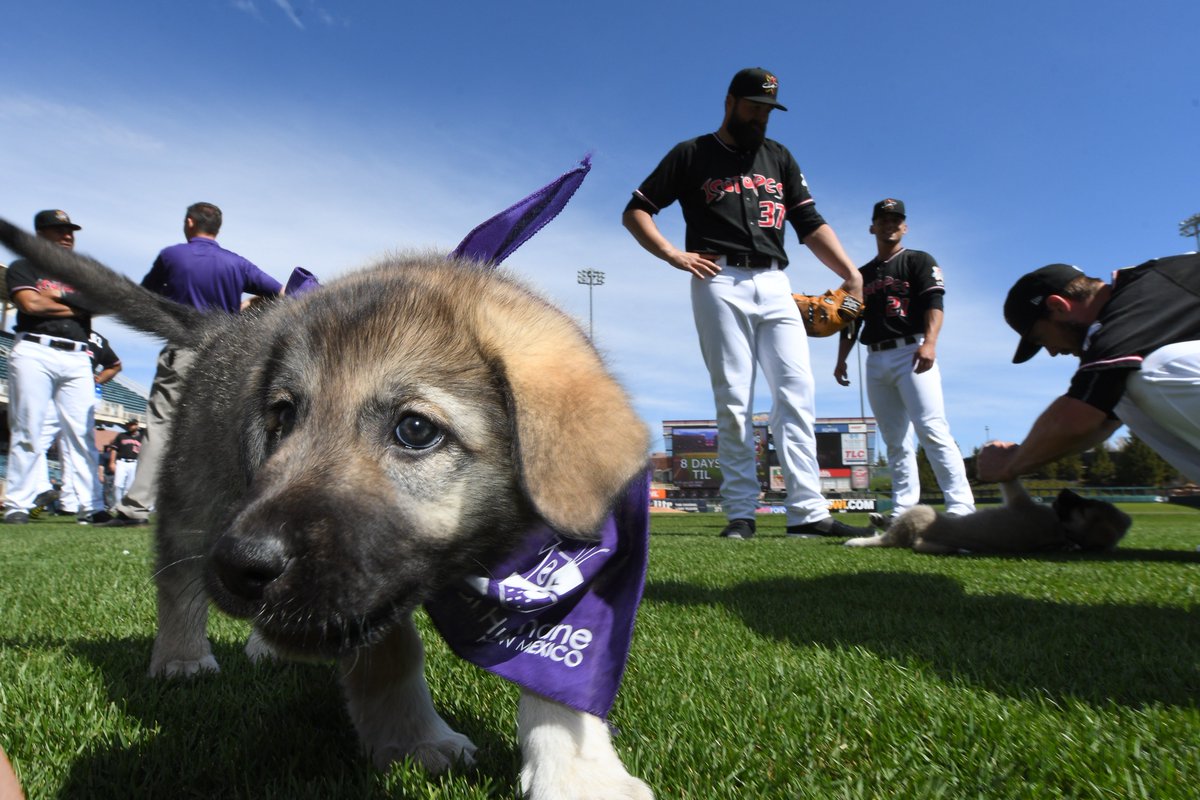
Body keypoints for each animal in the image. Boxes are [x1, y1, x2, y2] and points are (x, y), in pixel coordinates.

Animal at [0, 220, 657, 800]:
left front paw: (581, 777)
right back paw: (182, 657)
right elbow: (391, 654)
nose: (241, 565)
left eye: (415, 430)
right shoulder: (357, 596)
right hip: (197, 493)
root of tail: (221, 326)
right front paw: (413, 741)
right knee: (176, 576)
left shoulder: (575, 577)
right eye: (282, 417)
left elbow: (565, 686)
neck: (476, 562)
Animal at [840, 482, 1128, 556]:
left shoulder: (1020, 501)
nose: (1065, 491)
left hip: (921, 511)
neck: (1063, 530)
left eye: (1087, 505)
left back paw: (865, 534)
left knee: (885, 535)